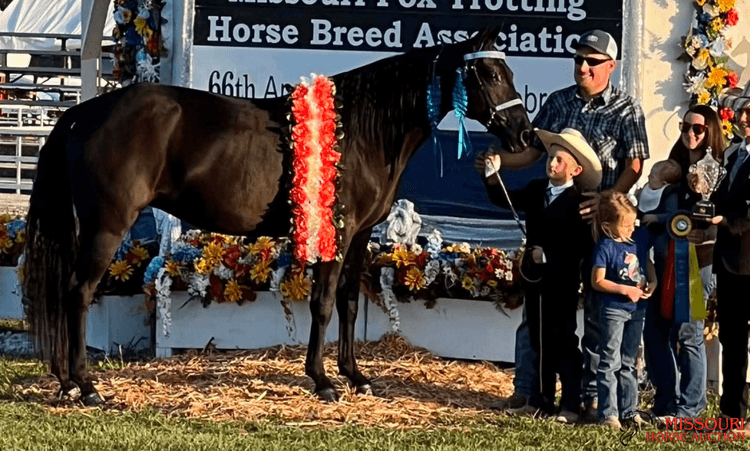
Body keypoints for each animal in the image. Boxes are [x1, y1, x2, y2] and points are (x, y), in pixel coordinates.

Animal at [23, 27, 532, 405]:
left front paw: (356, 376)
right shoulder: (336, 233)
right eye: (488, 72)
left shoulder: (360, 236)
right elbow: (323, 304)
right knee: (78, 293)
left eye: (509, 69)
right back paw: (86, 386)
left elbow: (349, 303)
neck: (362, 131)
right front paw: (323, 381)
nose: (524, 133)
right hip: (107, 225)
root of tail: (84, 112)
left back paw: (67, 382)